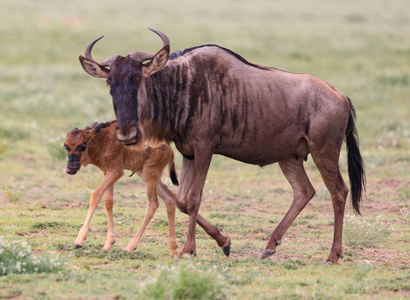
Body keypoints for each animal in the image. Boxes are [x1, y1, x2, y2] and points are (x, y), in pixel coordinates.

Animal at [64, 120, 179, 254]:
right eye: (66, 146)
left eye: (83, 145)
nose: (71, 167)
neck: (102, 139)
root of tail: (169, 148)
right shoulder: (108, 173)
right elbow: (108, 201)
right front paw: (108, 244)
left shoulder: (115, 172)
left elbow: (95, 196)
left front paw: (79, 241)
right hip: (146, 175)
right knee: (170, 199)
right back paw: (173, 250)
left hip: (150, 175)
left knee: (153, 204)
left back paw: (131, 246)